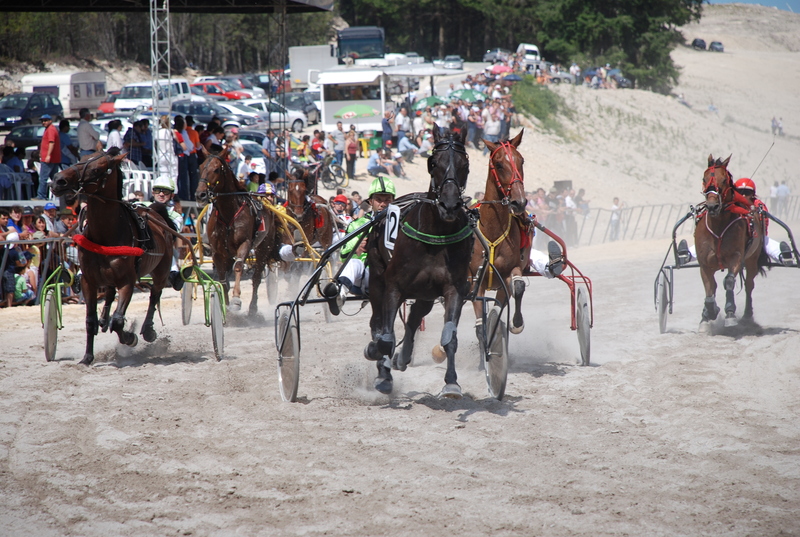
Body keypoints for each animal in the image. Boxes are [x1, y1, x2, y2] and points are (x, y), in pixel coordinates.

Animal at [52, 151, 175, 364]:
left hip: (162, 270)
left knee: (154, 295)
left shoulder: (127, 281)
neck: (105, 235)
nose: (59, 180)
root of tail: (154, 212)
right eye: (80, 159)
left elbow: (118, 321)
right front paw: (87, 357)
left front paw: (130, 337)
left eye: (96, 170)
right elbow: (90, 320)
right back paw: (104, 318)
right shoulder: (89, 281)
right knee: (109, 294)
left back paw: (147, 330)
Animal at [195, 149, 290, 314]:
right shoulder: (218, 252)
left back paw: (252, 308)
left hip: (263, 248)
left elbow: (238, 267)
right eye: (200, 167)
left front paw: (235, 300)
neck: (228, 214)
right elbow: (223, 280)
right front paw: (225, 307)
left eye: (216, 169)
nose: (200, 194)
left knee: (256, 277)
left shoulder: (244, 244)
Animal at [368, 127, 476, 396]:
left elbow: (450, 337)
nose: (450, 205)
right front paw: (382, 371)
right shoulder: (393, 286)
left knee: (415, 315)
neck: (436, 232)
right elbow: (385, 339)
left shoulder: (454, 288)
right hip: (376, 280)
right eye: (434, 162)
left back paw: (403, 356)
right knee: (378, 324)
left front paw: (451, 382)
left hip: (425, 292)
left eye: (465, 164)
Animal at [468, 131, 532, 348]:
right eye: (499, 164)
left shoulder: (510, 272)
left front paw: (517, 323)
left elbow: (518, 287)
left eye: (521, 161)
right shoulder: (474, 280)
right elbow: (479, 322)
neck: (492, 232)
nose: (519, 202)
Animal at [692, 154, 768, 330]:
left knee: (749, 285)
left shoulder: (736, 257)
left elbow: (729, 281)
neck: (718, 227)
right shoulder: (704, 263)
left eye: (724, 180)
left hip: (752, 259)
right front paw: (708, 314)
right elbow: (709, 288)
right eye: (704, 178)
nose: (712, 206)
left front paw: (730, 314)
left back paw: (747, 316)